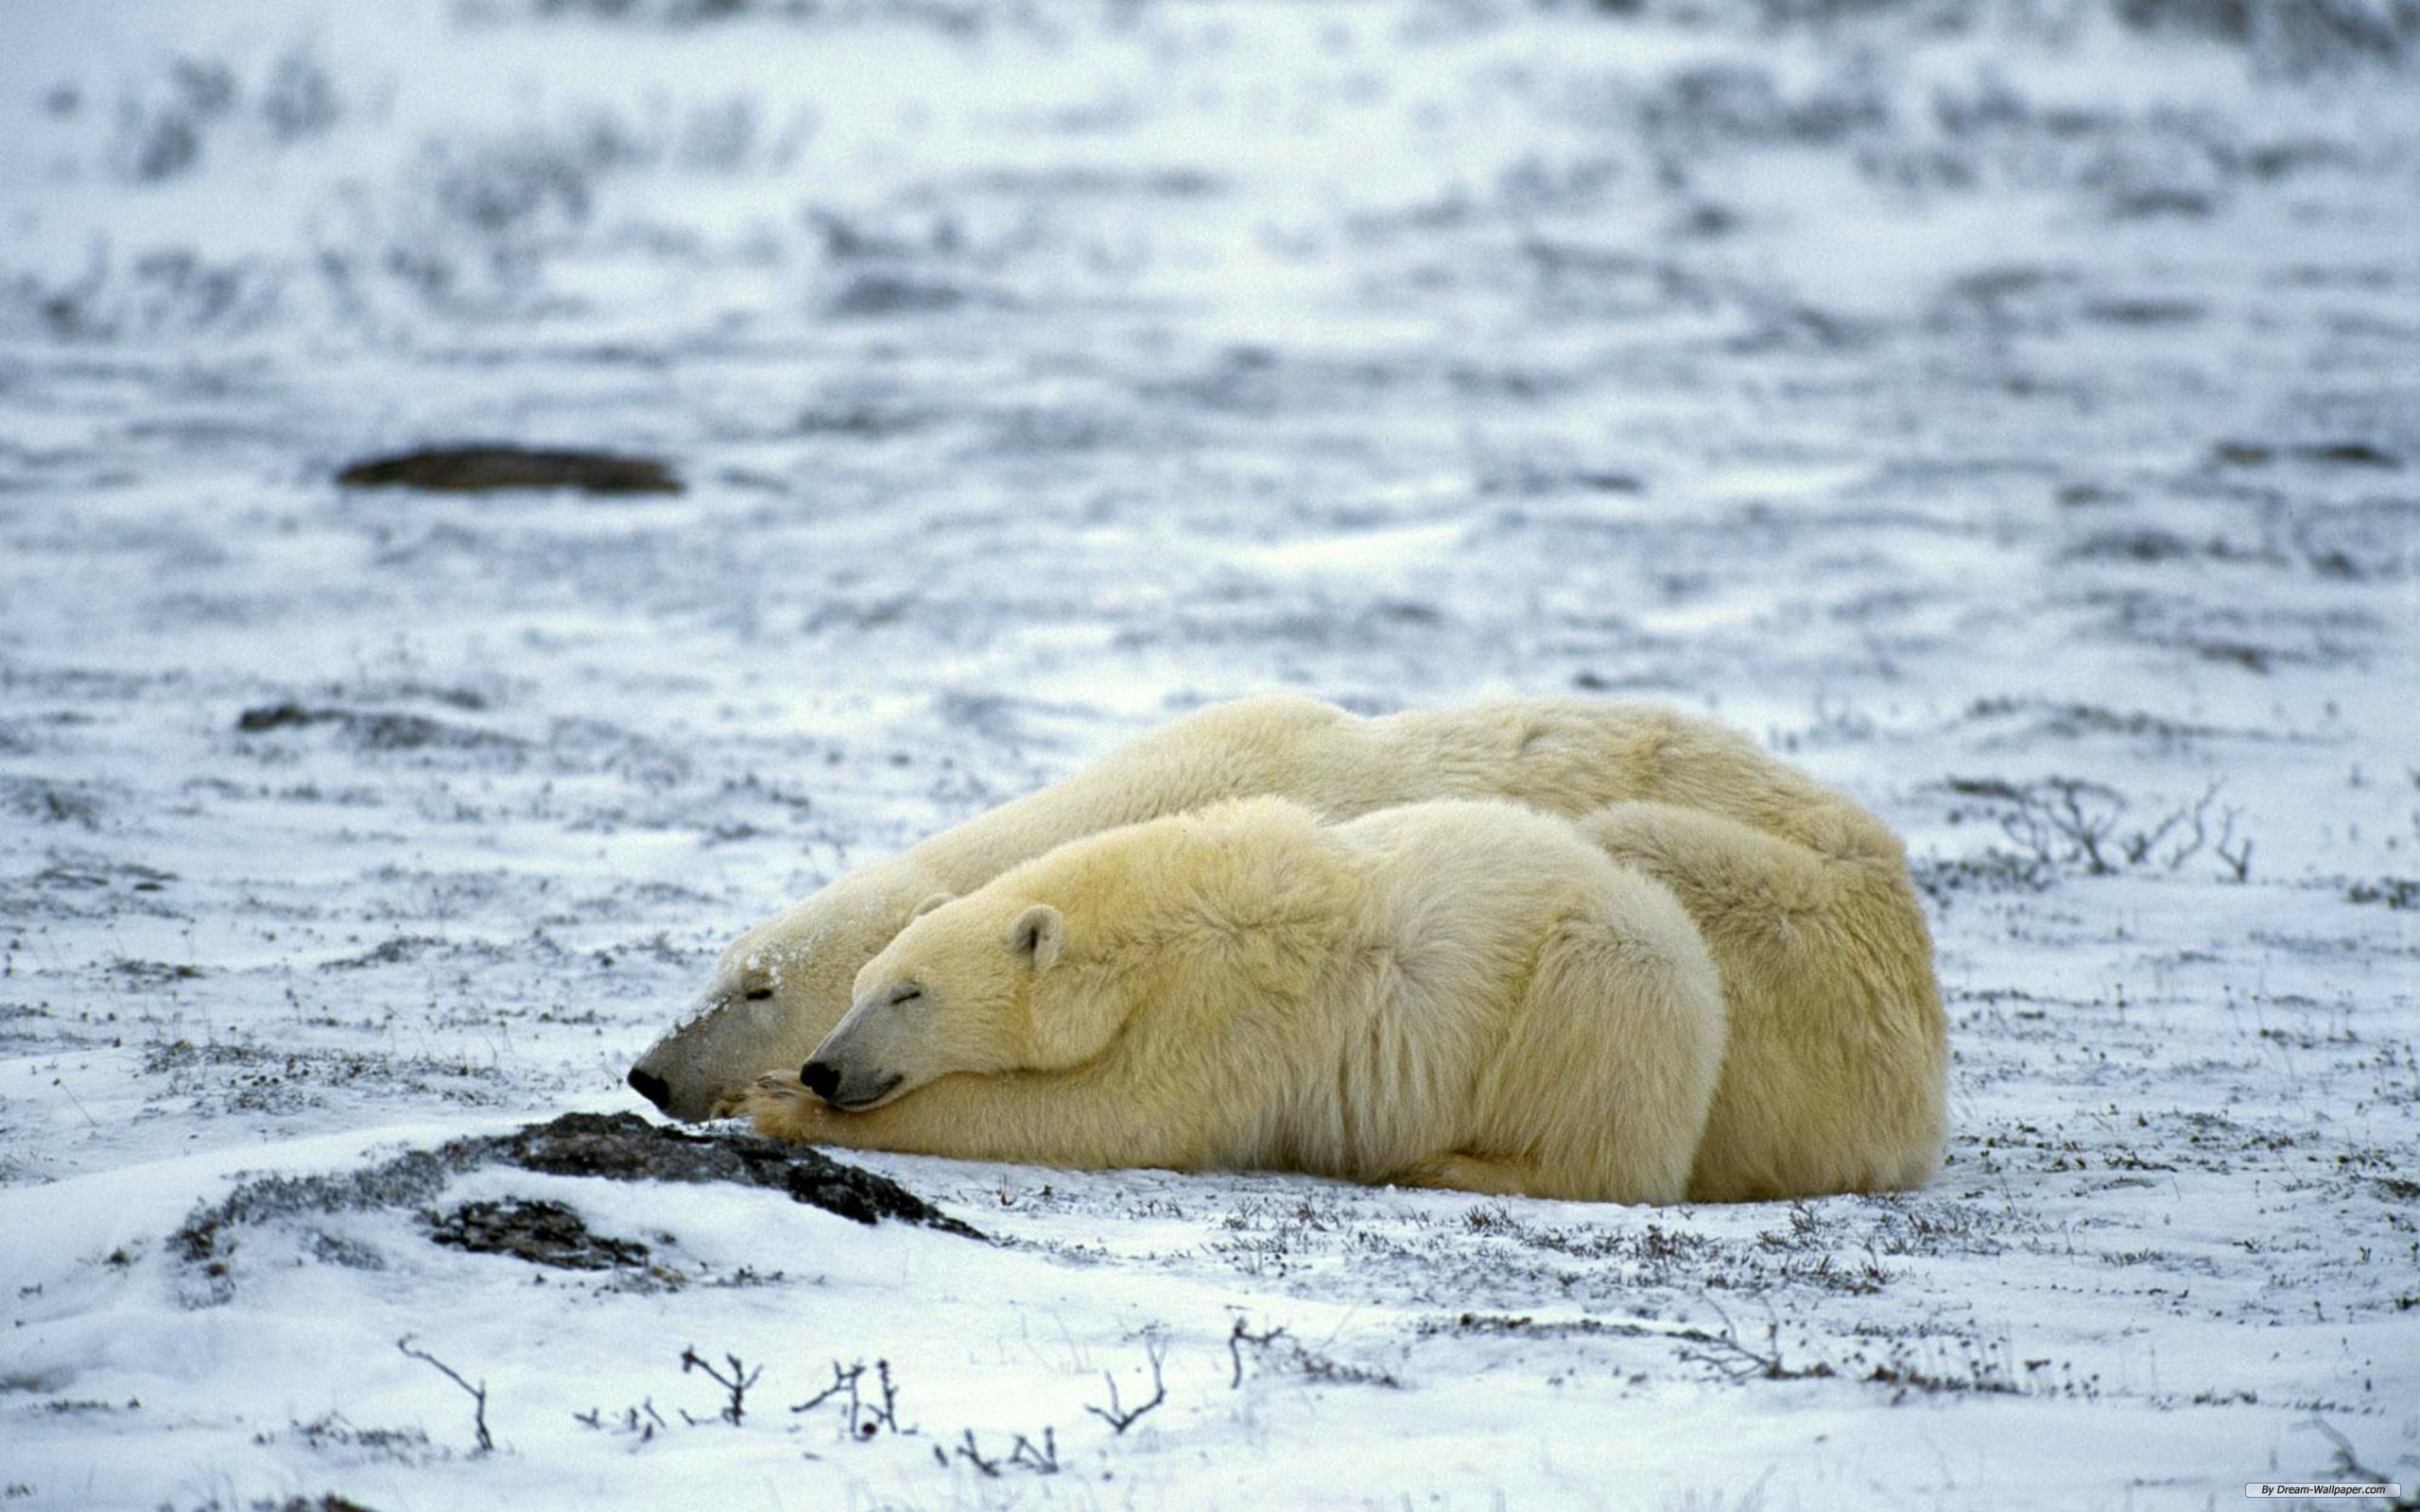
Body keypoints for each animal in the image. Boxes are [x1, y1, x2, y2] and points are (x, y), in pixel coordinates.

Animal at [745, 788, 1732, 1204]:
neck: (1153, 927)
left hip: (1604, 985)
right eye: (860, 985)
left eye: (908, 994)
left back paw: (1448, 1164)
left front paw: (777, 1103)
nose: (824, 1067)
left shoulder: (1228, 1011)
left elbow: (1120, 1115)